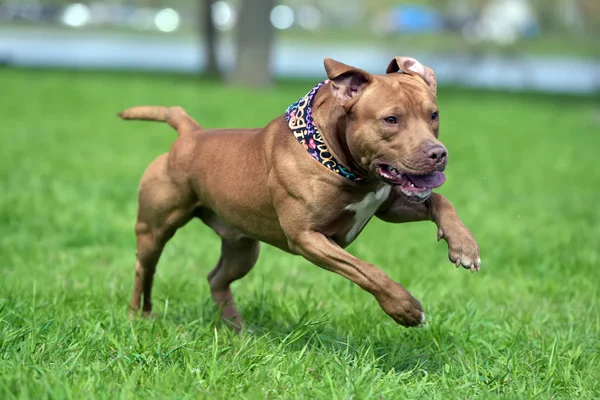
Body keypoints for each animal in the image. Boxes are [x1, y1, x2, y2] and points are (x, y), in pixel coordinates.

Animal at [119, 55, 480, 328]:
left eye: (433, 115)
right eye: (391, 119)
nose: (438, 153)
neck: (335, 156)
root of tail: (190, 133)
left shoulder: (389, 206)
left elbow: (440, 200)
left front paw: (464, 246)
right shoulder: (308, 238)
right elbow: (368, 271)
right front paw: (405, 308)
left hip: (242, 247)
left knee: (217, 279)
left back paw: (237, 329)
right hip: (154, 230)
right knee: (144, 269)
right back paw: (139, 316)